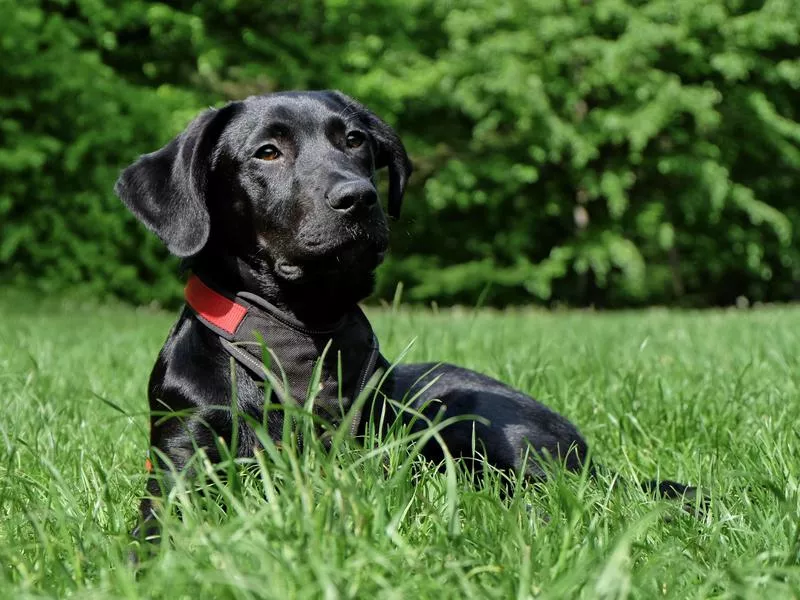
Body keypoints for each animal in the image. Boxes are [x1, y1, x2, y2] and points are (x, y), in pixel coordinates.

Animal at [115, 90, 696, 544]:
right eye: (268, 152)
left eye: (355, 141)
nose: (359, 197)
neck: (297, 334)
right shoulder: (181, 454)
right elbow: (160, 526)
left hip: (471, 417)